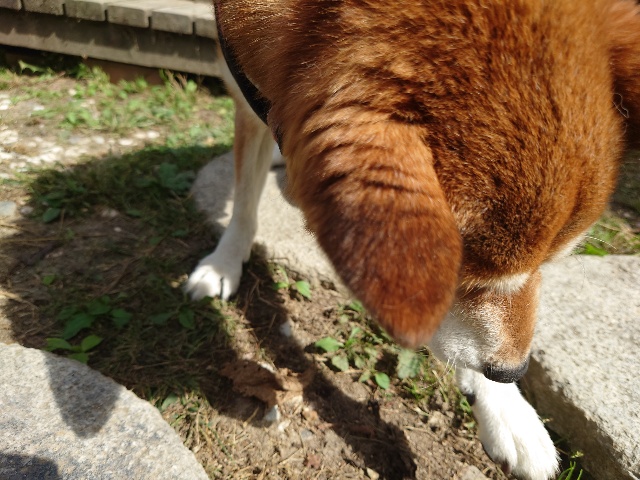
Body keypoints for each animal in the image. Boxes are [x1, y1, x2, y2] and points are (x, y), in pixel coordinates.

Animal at [186, 1, 640, 478]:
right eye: (451, 273)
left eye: (552, 263)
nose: (514, 372)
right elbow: (244, 203)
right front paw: (225, 261)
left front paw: (506, 410)